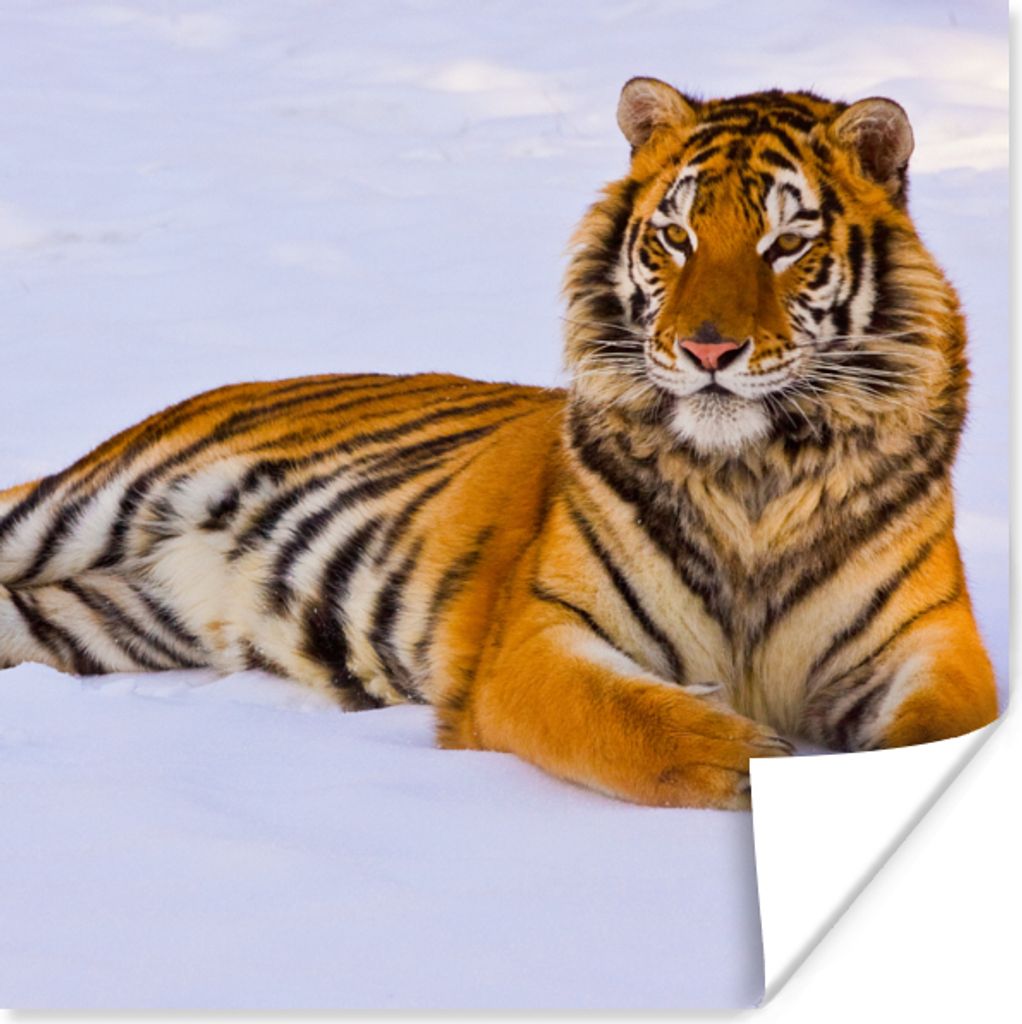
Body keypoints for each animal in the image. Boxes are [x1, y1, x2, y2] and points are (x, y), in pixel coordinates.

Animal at [0, 79, 998, 809]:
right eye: (676, 237)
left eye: (786, 244)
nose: (709, 350)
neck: (752, 470)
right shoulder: (540, 636)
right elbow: (631, 721)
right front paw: (756, 761)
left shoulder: (929, 640)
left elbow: (949, 737)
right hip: (84, 504)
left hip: (101, 621)